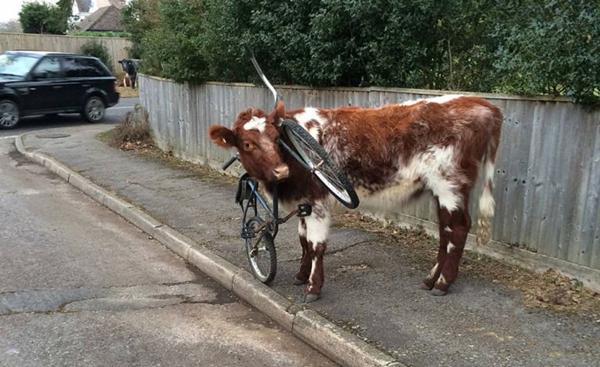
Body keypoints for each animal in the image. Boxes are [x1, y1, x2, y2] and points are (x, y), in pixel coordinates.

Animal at [211, 95, 502, 302]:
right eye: (247, 144)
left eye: (274, 137)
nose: (280, 170)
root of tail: (481, 104)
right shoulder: (305, 201)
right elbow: (303, 242)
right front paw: (300, 275)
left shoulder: (317, 201)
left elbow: (316, 246)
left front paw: (313, 287)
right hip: (440, 191)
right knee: (446, 231)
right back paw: (431, 280)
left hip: (450, 185)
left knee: (459, 229)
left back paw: (443, 283)